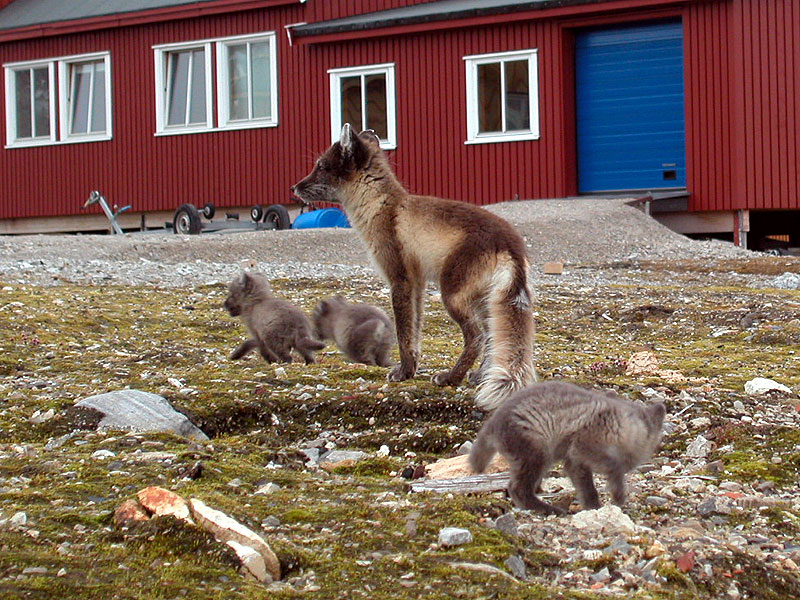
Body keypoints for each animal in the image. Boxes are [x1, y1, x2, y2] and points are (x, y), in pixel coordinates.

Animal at [294, 124, 536, 410]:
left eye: (320, 166)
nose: (294, 187)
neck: (382, 209)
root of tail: (512, 243)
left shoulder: (399, 279)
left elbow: (403, 333)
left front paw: (404, 372)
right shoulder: (417, 284)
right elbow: (415, 333)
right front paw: (411, 368)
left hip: (452, 296)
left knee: (477, 337)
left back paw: (451, 377)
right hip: (481, 300)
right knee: (490, 337)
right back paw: (479, 375)